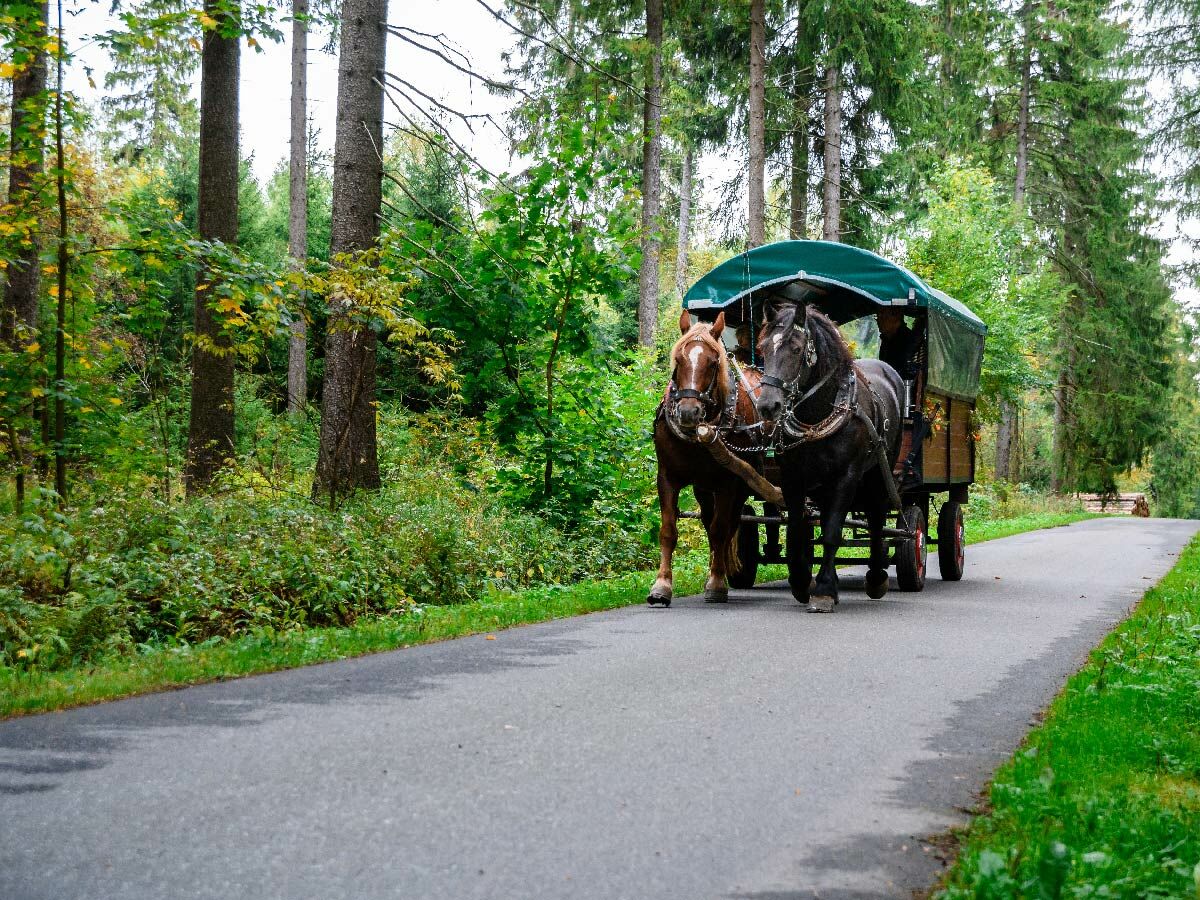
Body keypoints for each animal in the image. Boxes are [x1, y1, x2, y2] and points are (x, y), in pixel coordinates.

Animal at [648, 310, 767, 606]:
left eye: (713, 363)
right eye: (679, 360)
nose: (688, 412)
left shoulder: (728, 482)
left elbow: (720, 529)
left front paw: (716, 582)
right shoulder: (667, 477)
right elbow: (668, 531)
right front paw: (661, 586)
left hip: (743, 483)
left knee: (729, 523)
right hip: (704, 487)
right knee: (710, 520)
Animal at [755, 302, 904, 613]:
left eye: (796, 348)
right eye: (763, 348)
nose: (767, 406)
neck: (818, 414)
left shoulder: (846, 477)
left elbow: (834, 531)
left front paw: (823, 590)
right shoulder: (793, 478)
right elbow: (798, 529)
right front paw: (801, 582)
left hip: (879, 471)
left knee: (876, 516)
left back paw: (876, 576)